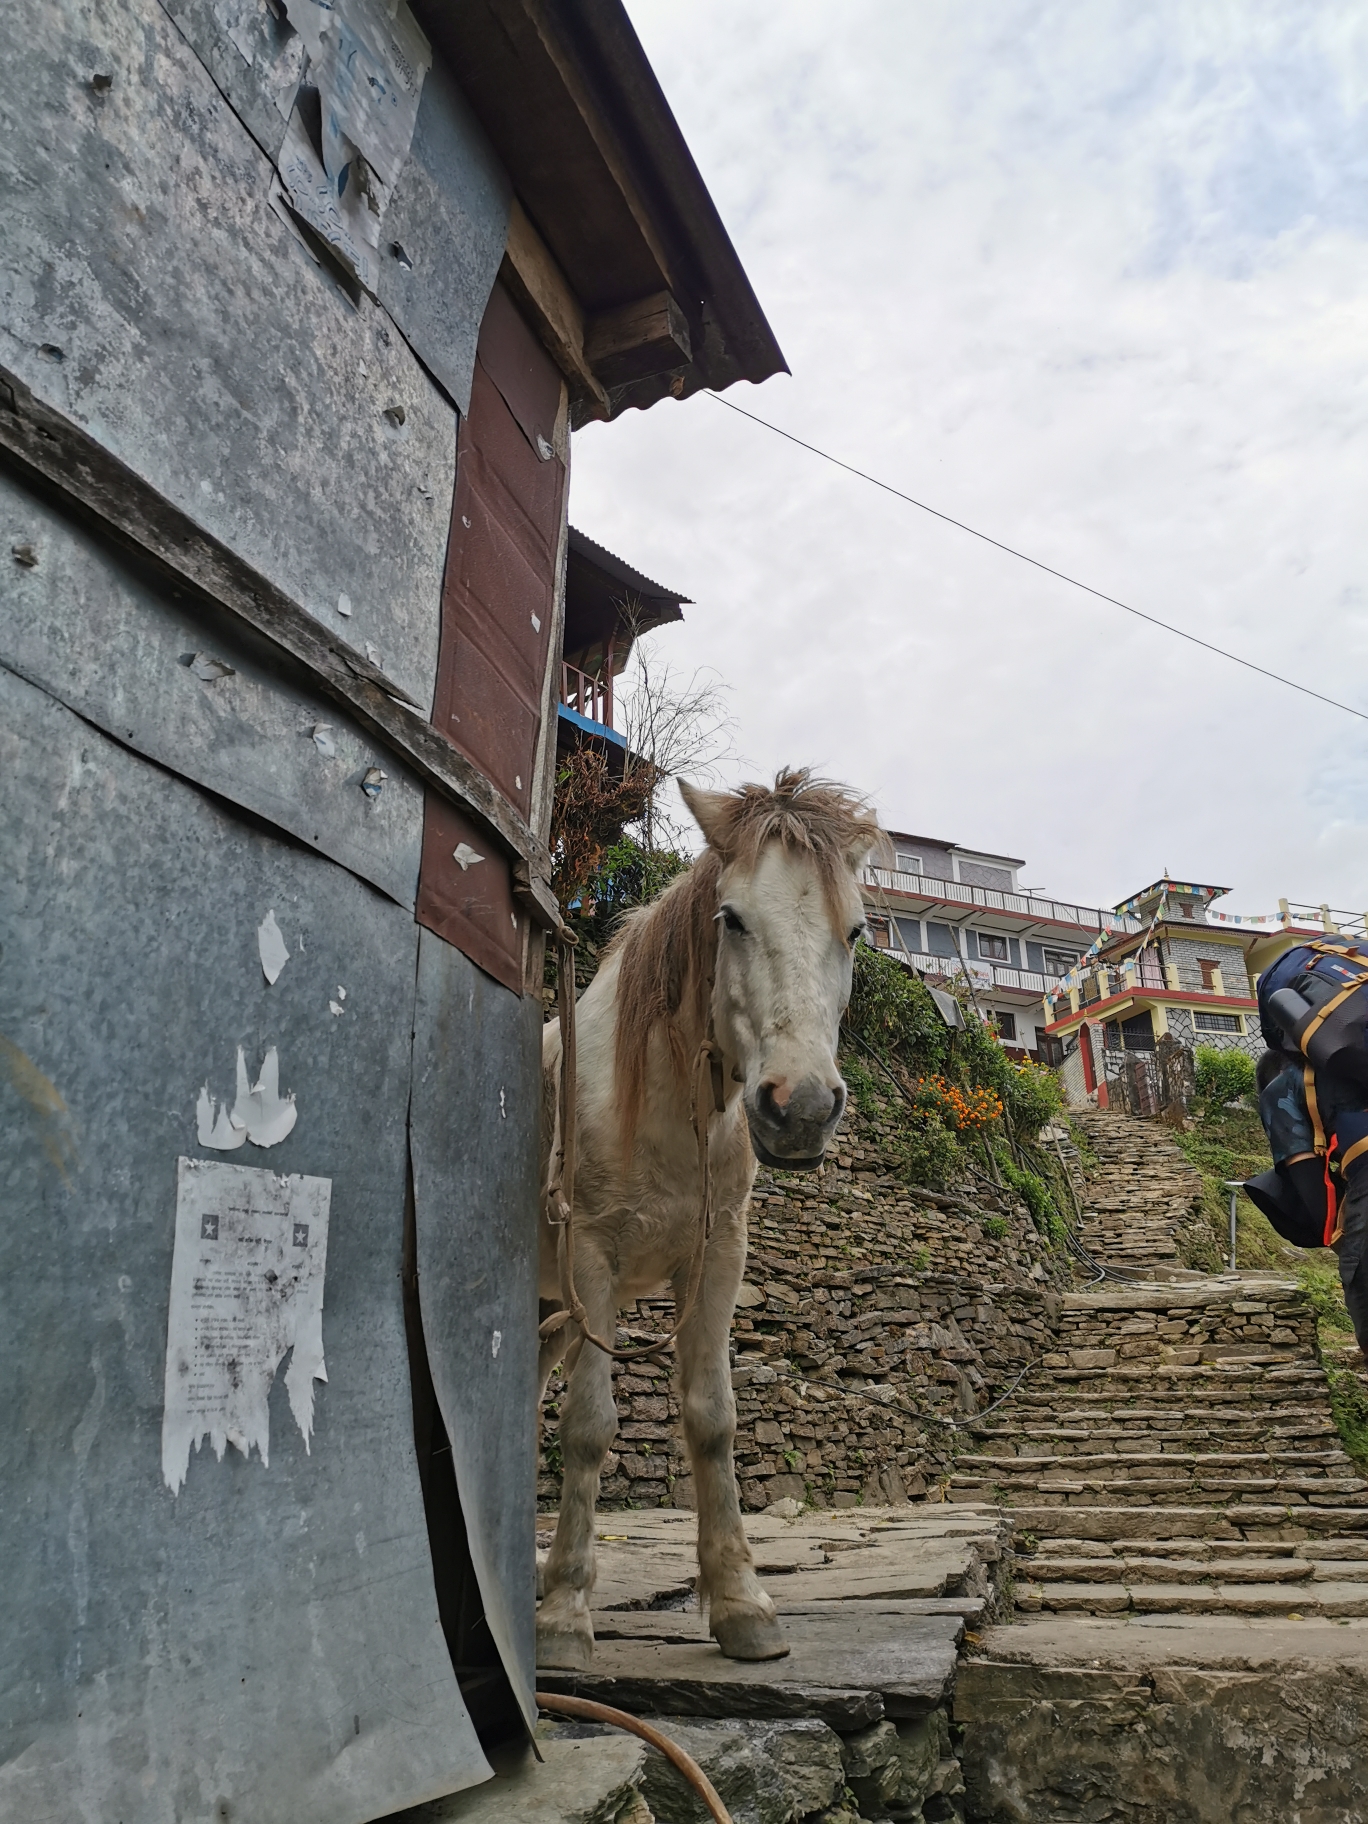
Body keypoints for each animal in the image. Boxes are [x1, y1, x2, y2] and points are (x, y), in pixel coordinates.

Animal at [536, 766, 879, 1670]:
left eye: (856, 932)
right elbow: (590, 1427)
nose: (801, 1109)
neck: (658, 1096)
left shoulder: (718, 1261)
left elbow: (713, 1422)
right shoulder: (594, 1263)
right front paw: (562, 1617)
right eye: (732, 919)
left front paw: (740, 1604)